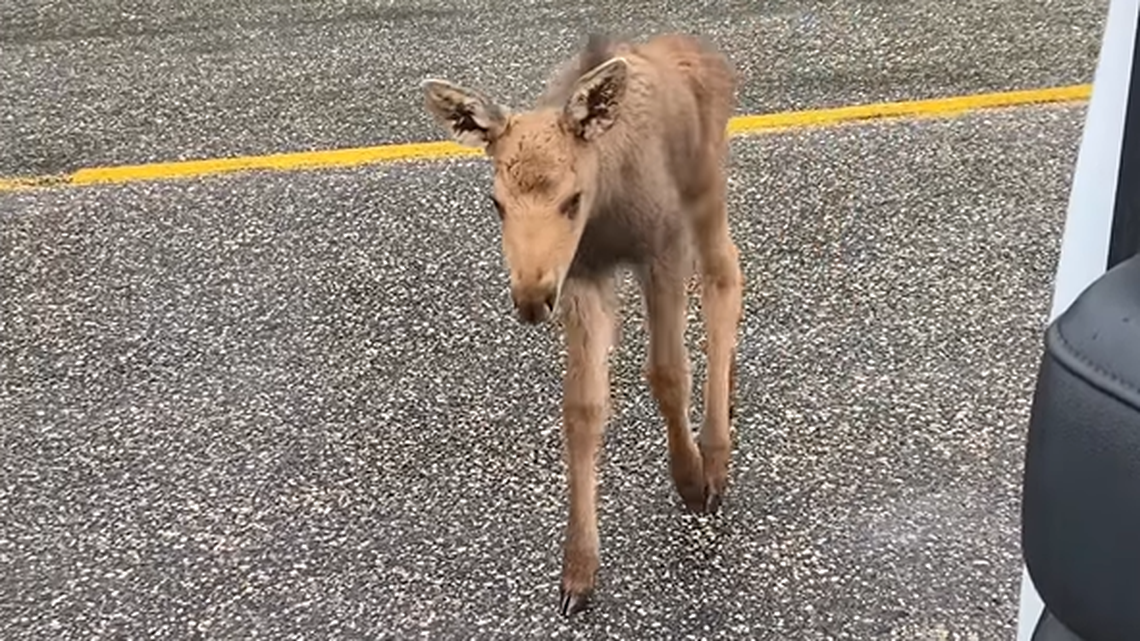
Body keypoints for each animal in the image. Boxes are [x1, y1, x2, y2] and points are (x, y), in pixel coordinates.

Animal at [419, 32, 744, 616]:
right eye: (496, 202)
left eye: (571, 199)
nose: (530, 300)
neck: (607, 210)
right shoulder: (580, 277)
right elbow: (582, 408)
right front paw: (578, 572)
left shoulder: (661, 248)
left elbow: (667, 373)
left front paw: (689, 478)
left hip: (706, 184)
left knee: (726, 277)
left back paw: (715, 451)